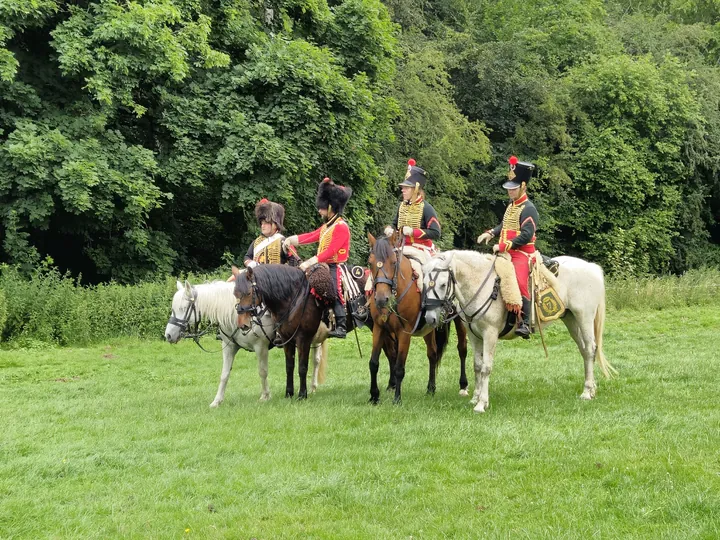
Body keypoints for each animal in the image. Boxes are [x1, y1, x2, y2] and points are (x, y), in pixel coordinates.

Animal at [164, 280, 330, 408]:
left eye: (183, 308)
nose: (168, 335)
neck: (237, 314)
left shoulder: (261, 347)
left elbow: (263, 371)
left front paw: (265, 396)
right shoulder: (229, 347)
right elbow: (224, 374)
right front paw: (217, 401)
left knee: (315, 361)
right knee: (315, 360)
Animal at [368, 233, 470, 404]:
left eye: (393, 262)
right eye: (370, 263)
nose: (382, 299)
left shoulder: (404, 333)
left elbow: (399, 367)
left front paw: (397, 399)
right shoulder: (379, 328)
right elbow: (374, 363)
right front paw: (374, 396)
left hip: (460, 321)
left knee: (462, 349)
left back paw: (463, 385)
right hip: (429, 326)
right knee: (432, 353)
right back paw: (431, 388)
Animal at [422, 253, 620, 414]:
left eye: (442, 284)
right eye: (424, 284)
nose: (430, 318)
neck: (481, 285)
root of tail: (592, 267)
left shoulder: (490, 334)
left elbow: (486, 367)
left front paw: (482, 403)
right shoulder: (474, 336)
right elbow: (477, 366)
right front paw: (475, 397)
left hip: (584, 317)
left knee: (590, 349)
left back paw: (586, 392)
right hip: (571, 320)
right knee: (585, 352)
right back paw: (591, 389)